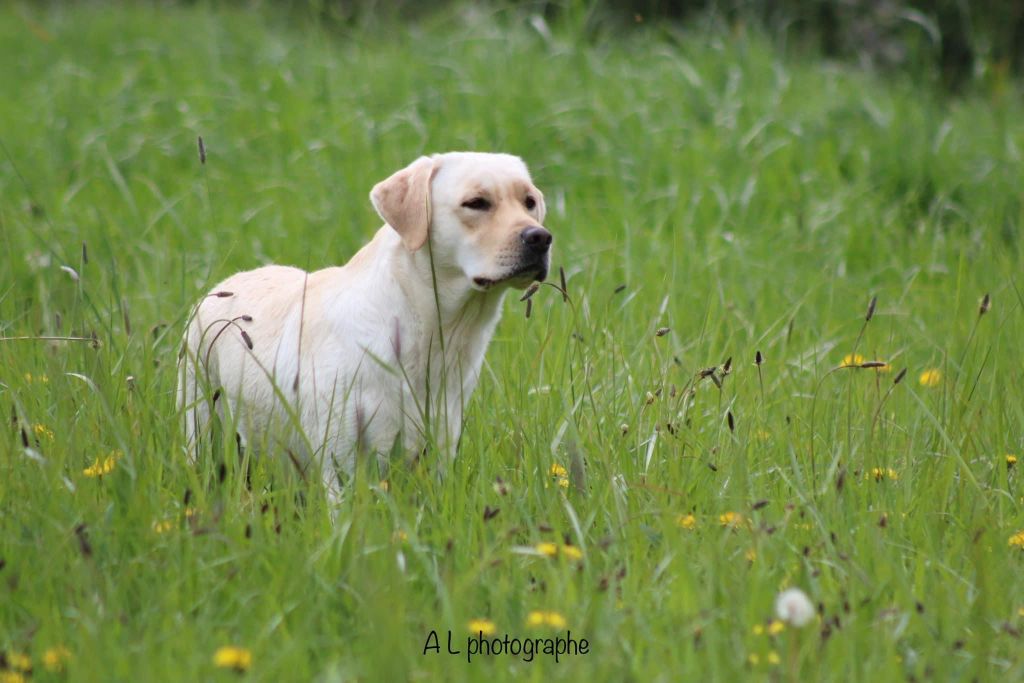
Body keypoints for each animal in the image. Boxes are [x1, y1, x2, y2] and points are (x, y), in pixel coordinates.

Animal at [180, 153, 557, 497]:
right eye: (476, 203)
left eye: (529, 202)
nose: (540, 237)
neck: (429, 335)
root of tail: (219, 287)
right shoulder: (338, 459)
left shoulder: (438, 450)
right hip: (200, 421)